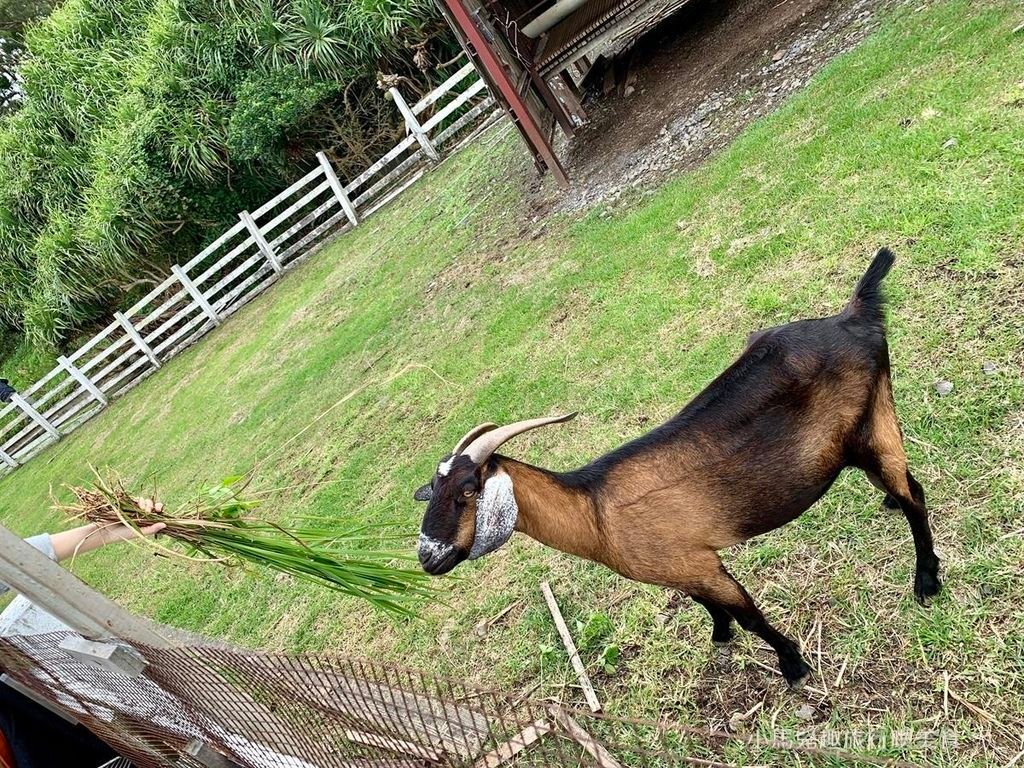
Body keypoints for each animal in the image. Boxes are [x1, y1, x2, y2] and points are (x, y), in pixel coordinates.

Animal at [411, 249, 937, 688]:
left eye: (467, 491)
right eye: (431, 491)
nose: (428, 558)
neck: (595, 513)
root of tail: (852, 315)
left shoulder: (699, 561)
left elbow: (748, 613)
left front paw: (793, 665)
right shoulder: (678, 568)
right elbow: (705, 605)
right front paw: (720, 635)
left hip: (871, 424)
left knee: (913, 493)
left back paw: (927, 581)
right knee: (903, 487)